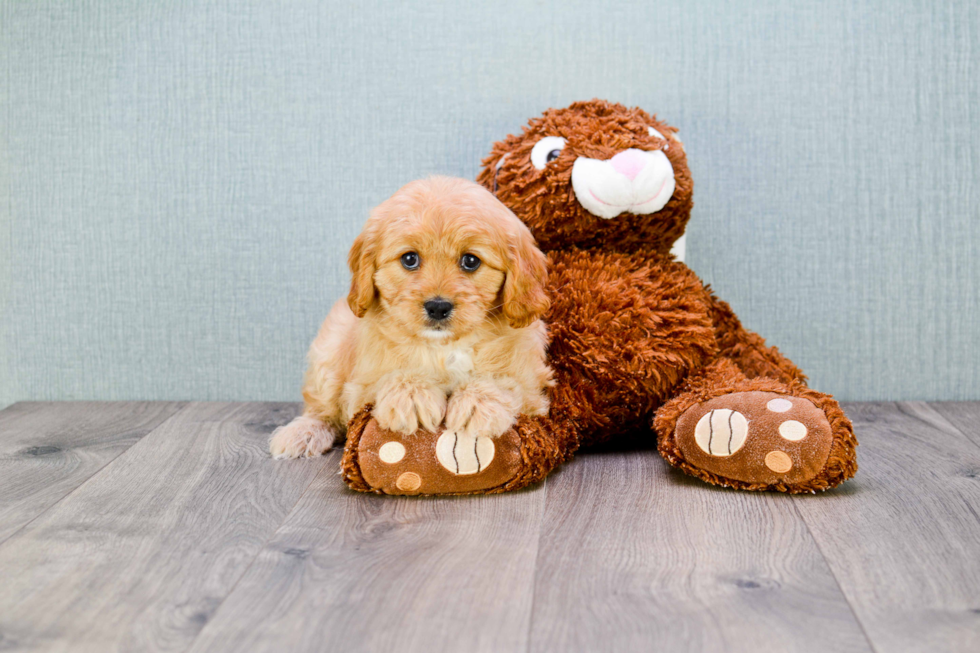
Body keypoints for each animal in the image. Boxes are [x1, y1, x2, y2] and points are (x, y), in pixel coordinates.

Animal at [270, 174, 552, 458]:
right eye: (409, 259)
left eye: (471, 261)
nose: (438, 307)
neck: (442, 348)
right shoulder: (360, 388)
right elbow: (383, 381)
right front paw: (412, 395)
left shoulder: (532, 384)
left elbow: (508, 382)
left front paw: (478, 402)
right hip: (330, 349)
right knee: (321, 406)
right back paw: (303, 432)